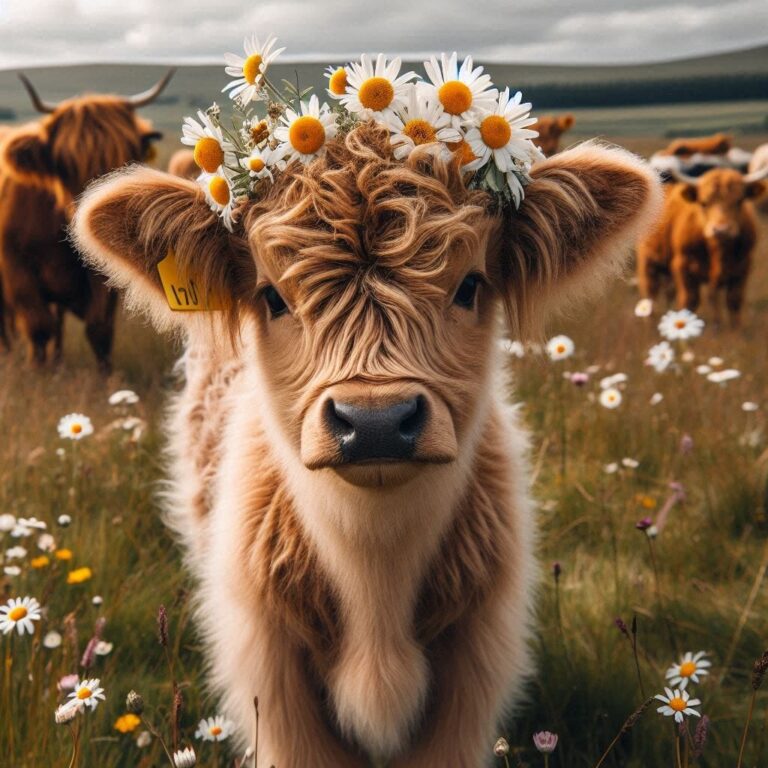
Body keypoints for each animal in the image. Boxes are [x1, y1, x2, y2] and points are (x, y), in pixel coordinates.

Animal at [0, 71, 173, 370]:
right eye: (64, 164)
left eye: (126, 158)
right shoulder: (16, 267)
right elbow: (37, 325)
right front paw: (36, 370)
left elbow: (99, 329)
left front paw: (106, 376)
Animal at [72, 125, 661, 767]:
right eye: (272, 297)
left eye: (469, 285)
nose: (376, 422)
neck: (376, 584)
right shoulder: (274, 683)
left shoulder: (472, 669)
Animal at [637, 166, 766, 327]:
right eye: (704, 203)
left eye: (739, 201)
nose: (721, 230)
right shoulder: (683, 266)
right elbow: (689, 301)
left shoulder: (743, 267)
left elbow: (733, 300)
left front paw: (734, 330)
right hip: (648, 261)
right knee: (650, 292)